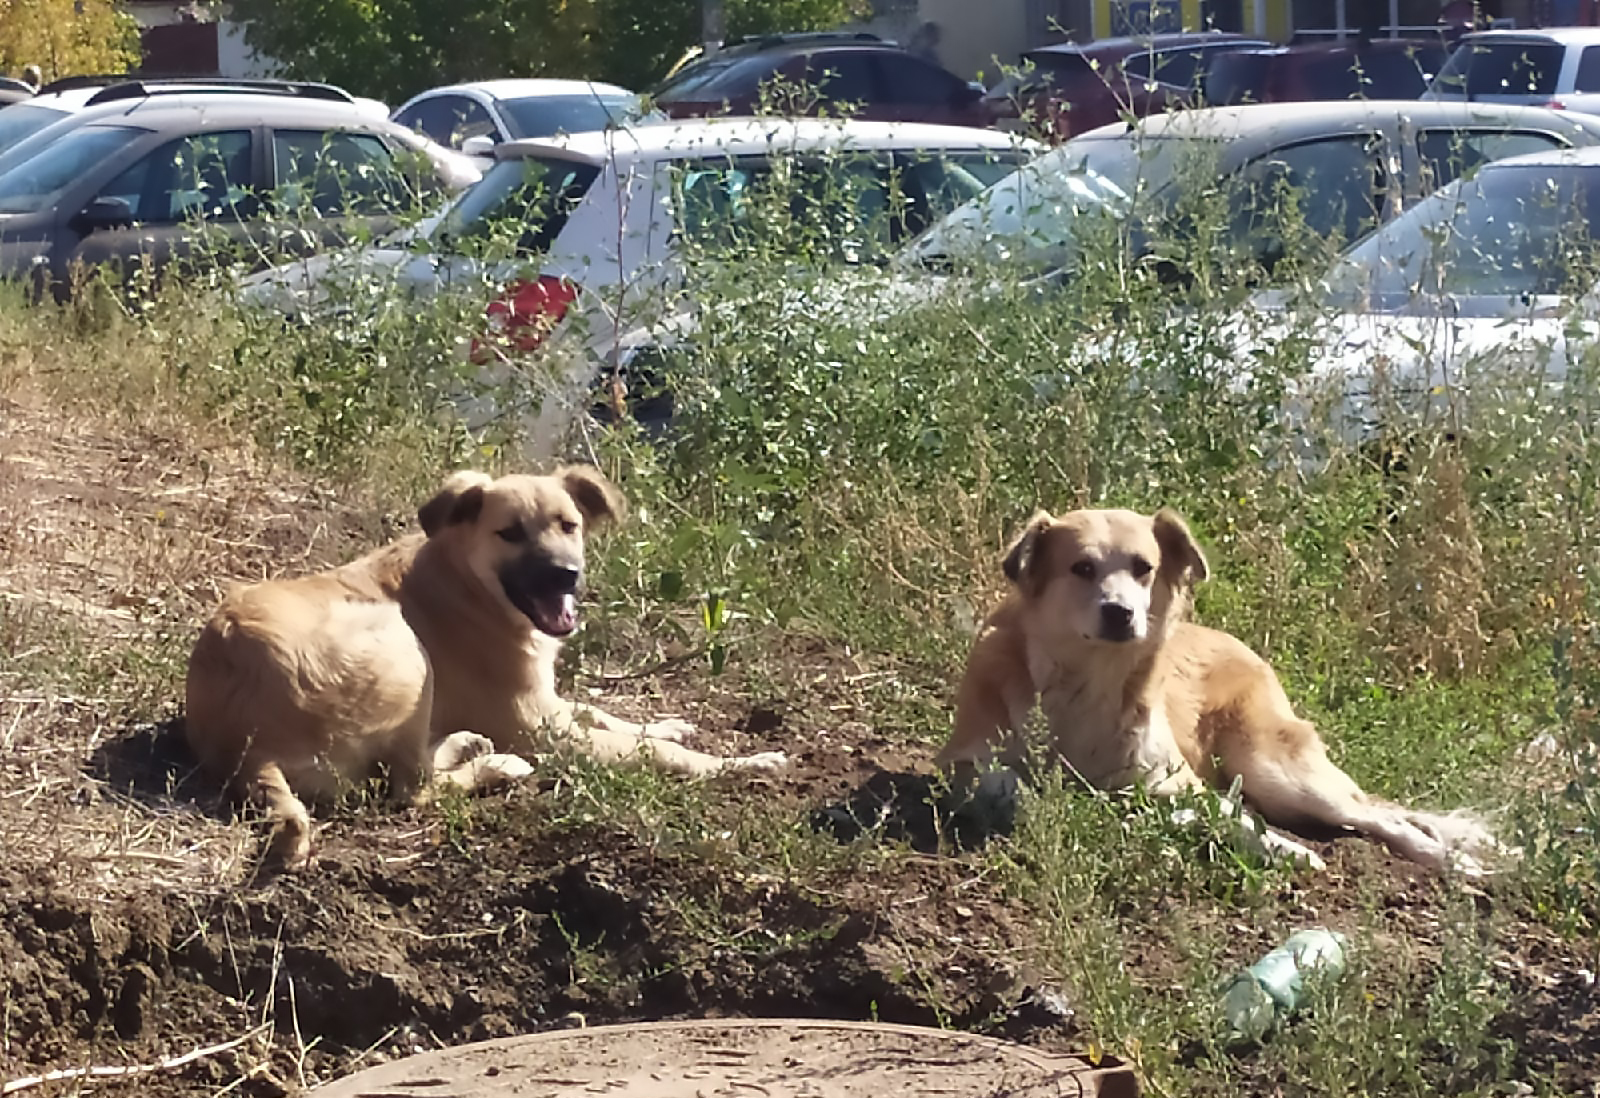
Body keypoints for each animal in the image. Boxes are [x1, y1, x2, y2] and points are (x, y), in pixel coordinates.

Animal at [187, 464, 787, 870]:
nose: (566, 575)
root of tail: (246, 744)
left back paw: (468, 744)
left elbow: (606, 715)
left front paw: (669, 724)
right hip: (404, 645)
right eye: (510, 532)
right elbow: (659, 754)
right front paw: (742, 763)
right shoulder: (539, 727)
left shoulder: (548, 703)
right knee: (410, 789)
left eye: (569, 525)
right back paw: (495, 766)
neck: (469, 585)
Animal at [934, 508, 1497, 877]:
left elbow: (1227, 817)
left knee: (1379, 817)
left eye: (1143, 568)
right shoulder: (963, 762)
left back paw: (1454, 862)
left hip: (1274, 770)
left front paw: (1288, 852)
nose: (1121, 613)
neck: (1088, 685)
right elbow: (1010, 783)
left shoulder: (1179, 782)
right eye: (1082, 568)